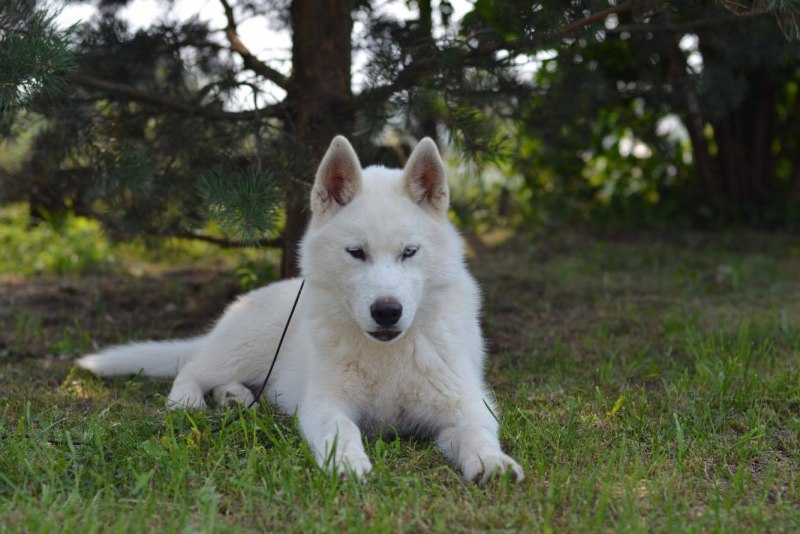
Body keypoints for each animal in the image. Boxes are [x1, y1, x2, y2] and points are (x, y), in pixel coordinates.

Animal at [76, 137, 524, 486]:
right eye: (356, 253)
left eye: (409, 252)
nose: (387, 312)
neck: (386, 354)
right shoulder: (326, 403)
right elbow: (343, 430)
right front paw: (347, 463)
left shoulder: (466, 403)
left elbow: (477, 433)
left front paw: (492, 462)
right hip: (244, 348)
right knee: (191, 370)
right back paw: (189, 401)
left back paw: (236, 397)